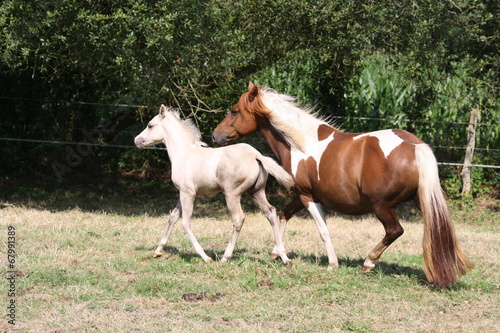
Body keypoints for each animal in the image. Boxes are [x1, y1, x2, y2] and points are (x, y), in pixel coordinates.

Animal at [135, 105, 294, 264]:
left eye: (150, 125)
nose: (136, 140)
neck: (184, 154)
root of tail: (256, 155)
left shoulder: (187, 194)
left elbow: (185, 222)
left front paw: (205, 257)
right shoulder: (184, 194)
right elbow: (173, 217)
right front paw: (158, 251)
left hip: (232, 194)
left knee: (238, 219)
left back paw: (225, 257)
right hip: (256, 192)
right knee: (271, 212)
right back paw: (284, 257)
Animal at [212, 81, 472, 284]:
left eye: (234, 111)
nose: (215, 136)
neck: (300, 144)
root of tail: (416, 145)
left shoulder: (307, 196)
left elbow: (323, 230)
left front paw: (332, 264)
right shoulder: (301, 196)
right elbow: (284, 215)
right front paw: (278, 252)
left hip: (382, 206)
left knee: (394, 230)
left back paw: (369, 262)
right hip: (421, 200)